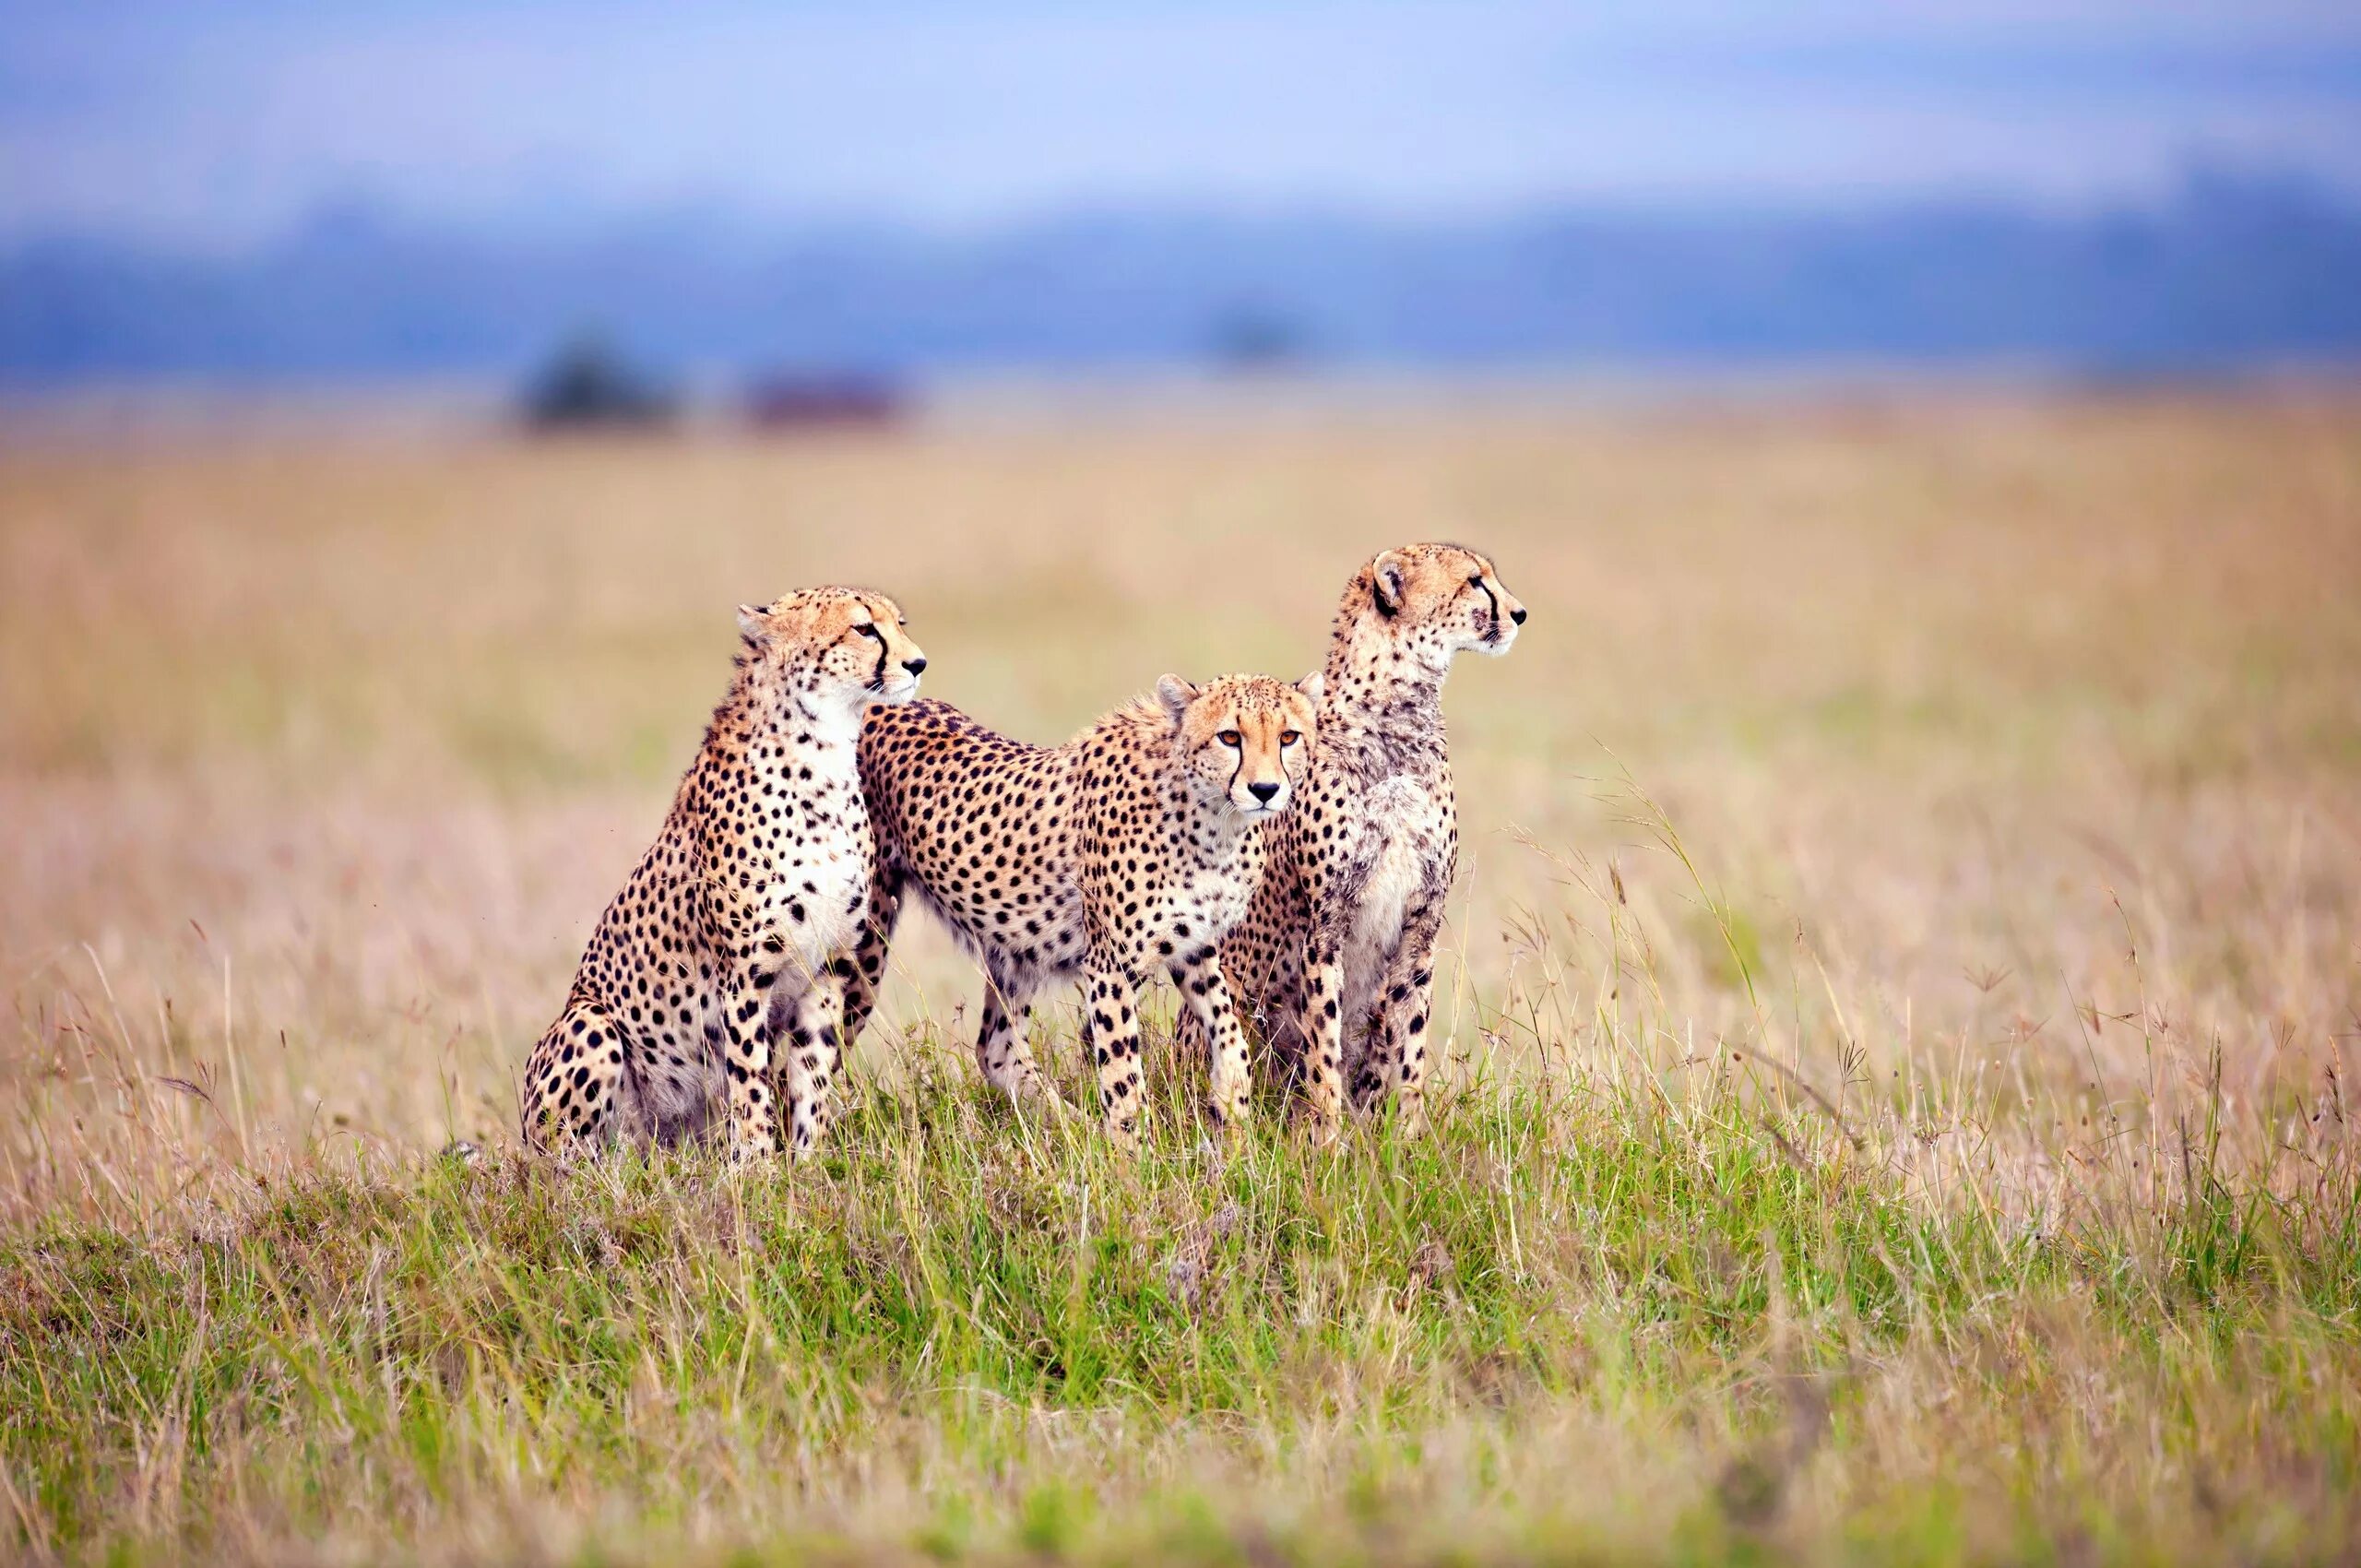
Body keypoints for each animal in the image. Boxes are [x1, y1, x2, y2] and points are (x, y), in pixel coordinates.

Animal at [521, 588, 925, 1161]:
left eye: (899, 623)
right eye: (864, 628)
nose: (918, 663)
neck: (823, 759)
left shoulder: (827, 971)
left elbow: (811, 1076)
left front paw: (809, 1163)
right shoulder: (745, 977)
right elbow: (751, 1080)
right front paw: (757, 1169)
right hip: (589, 1024)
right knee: (566, 1163)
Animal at [845, 665, 1331, 1147]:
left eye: (1288, 736)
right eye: (1229, 737)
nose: (1265, 789)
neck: (1212, 821)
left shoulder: (1193, 944)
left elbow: (1230, 1030)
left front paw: (1232, 1106)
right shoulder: (1111, 964)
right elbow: (1123, 1074)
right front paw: (1133, 1157)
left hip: (1014, 948)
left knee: (996, 1050)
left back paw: (1073, 1128)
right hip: (865, 937)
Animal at [1199, 545, 1529, 1133]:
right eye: (1474, 581)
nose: (1520, 613)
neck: (1399, 716)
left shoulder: (1422, 920)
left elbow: (1409, 1039)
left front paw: (1408, 1135)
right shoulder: (1325, 924)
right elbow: (1323, 1042)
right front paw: (1328, 1135)